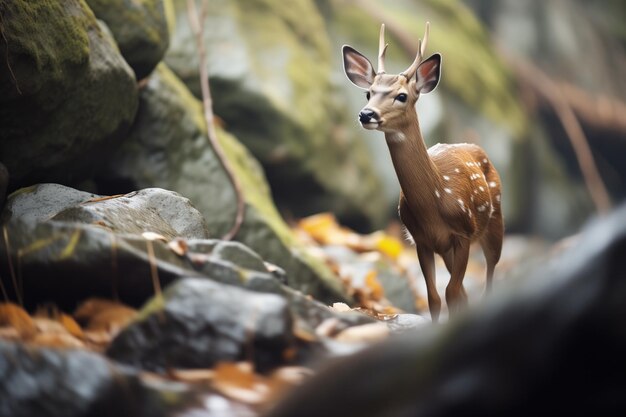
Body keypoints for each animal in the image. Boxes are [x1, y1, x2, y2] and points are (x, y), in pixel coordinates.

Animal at [342, 22, 502, 322]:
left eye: (401, 96)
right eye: (369, 92)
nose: (366, 114)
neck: (435, 203)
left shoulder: (463, 233)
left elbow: (452, 293)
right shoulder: (421, 240)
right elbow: (435, 298)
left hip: (495, 220)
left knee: (489, 276)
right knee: (464, 291)